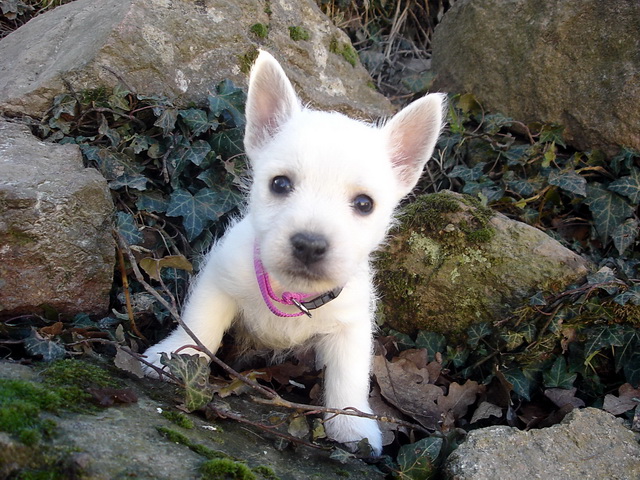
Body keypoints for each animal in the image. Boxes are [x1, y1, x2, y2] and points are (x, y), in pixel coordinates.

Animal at [144, 49, 444, 454]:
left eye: (364, 204)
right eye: (280, 184)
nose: (310, 244)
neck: (292, 293)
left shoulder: (351, 326)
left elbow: (348, 378)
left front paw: (353, 426)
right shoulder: (218, 280)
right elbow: (200, 326)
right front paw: (177, 356)